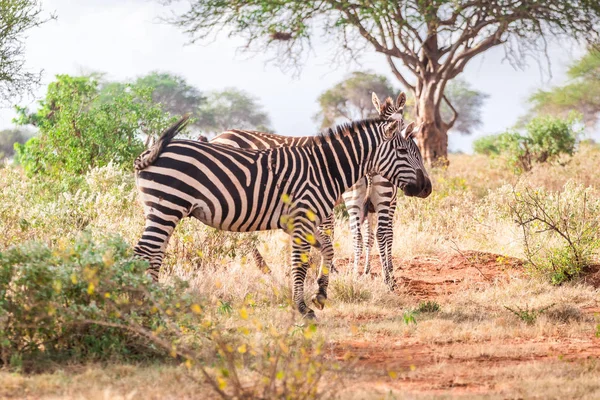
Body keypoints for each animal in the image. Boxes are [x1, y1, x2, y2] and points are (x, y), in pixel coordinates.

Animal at [133, 114, 428, 318]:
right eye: (403, 152)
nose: (428, 188)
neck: (325, 168)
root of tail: (150, 152)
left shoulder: (299, 222)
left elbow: (328, 249)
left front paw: (320, 294)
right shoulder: (302, 218)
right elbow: (300, 264)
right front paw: (302, 307)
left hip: (162, 211)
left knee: (154, 254)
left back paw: (156, 301)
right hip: (167, 207)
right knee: (144, 252)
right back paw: (144, 302)